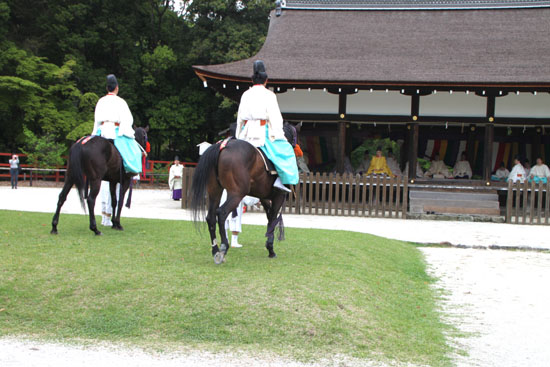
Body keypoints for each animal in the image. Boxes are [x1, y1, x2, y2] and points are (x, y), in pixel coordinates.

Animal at [191, 125, 298, 266]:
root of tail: (223, 146)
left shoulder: (264, 197)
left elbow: (270, 217)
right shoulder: (279, 196)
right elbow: (273, 218)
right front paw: (270, 248)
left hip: (215, 191)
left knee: (211, 217)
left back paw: (215, 250)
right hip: (236, 194)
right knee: (221, 213)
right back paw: (224, 247)